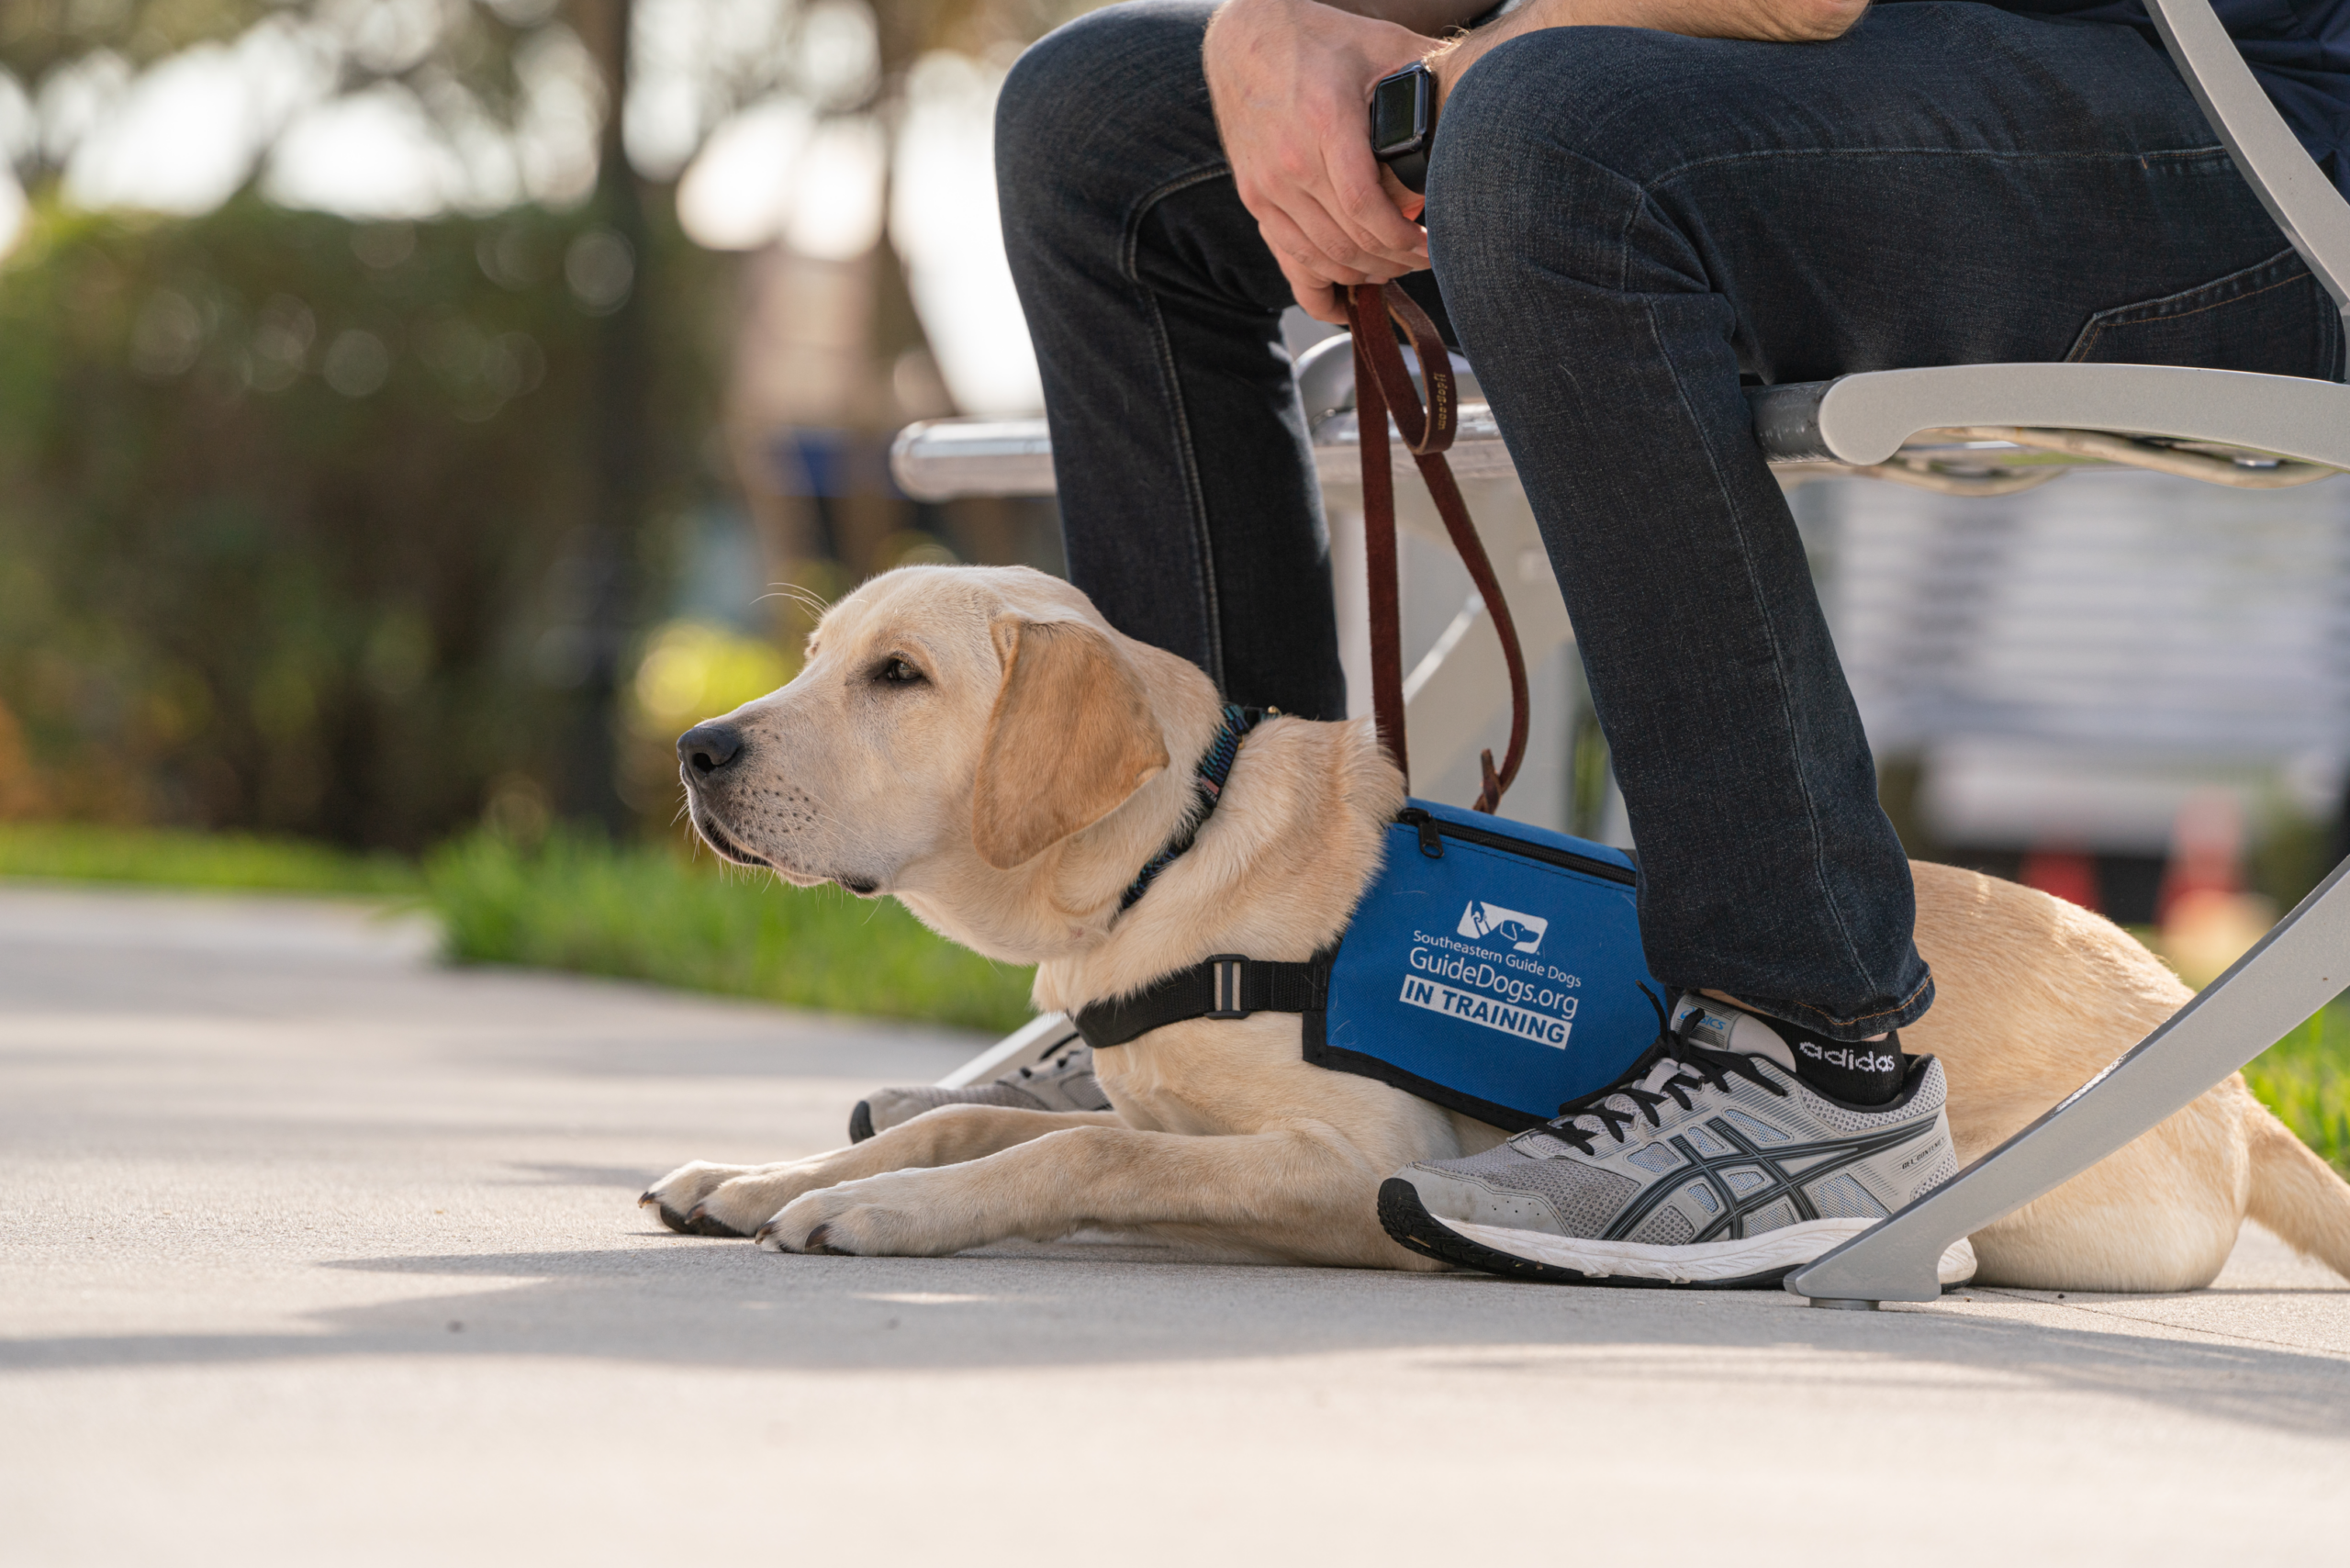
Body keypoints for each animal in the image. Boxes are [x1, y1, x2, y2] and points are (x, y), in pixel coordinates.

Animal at [643, 564, 2350, 1288]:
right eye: (817, 657)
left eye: (901, 679)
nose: (697, 747)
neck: (1181, 857)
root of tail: (2235, 1082)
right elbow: (960, 1125)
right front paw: (772, 1176)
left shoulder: (1349, 1159)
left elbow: (1070, 1155)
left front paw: (888, 1214)